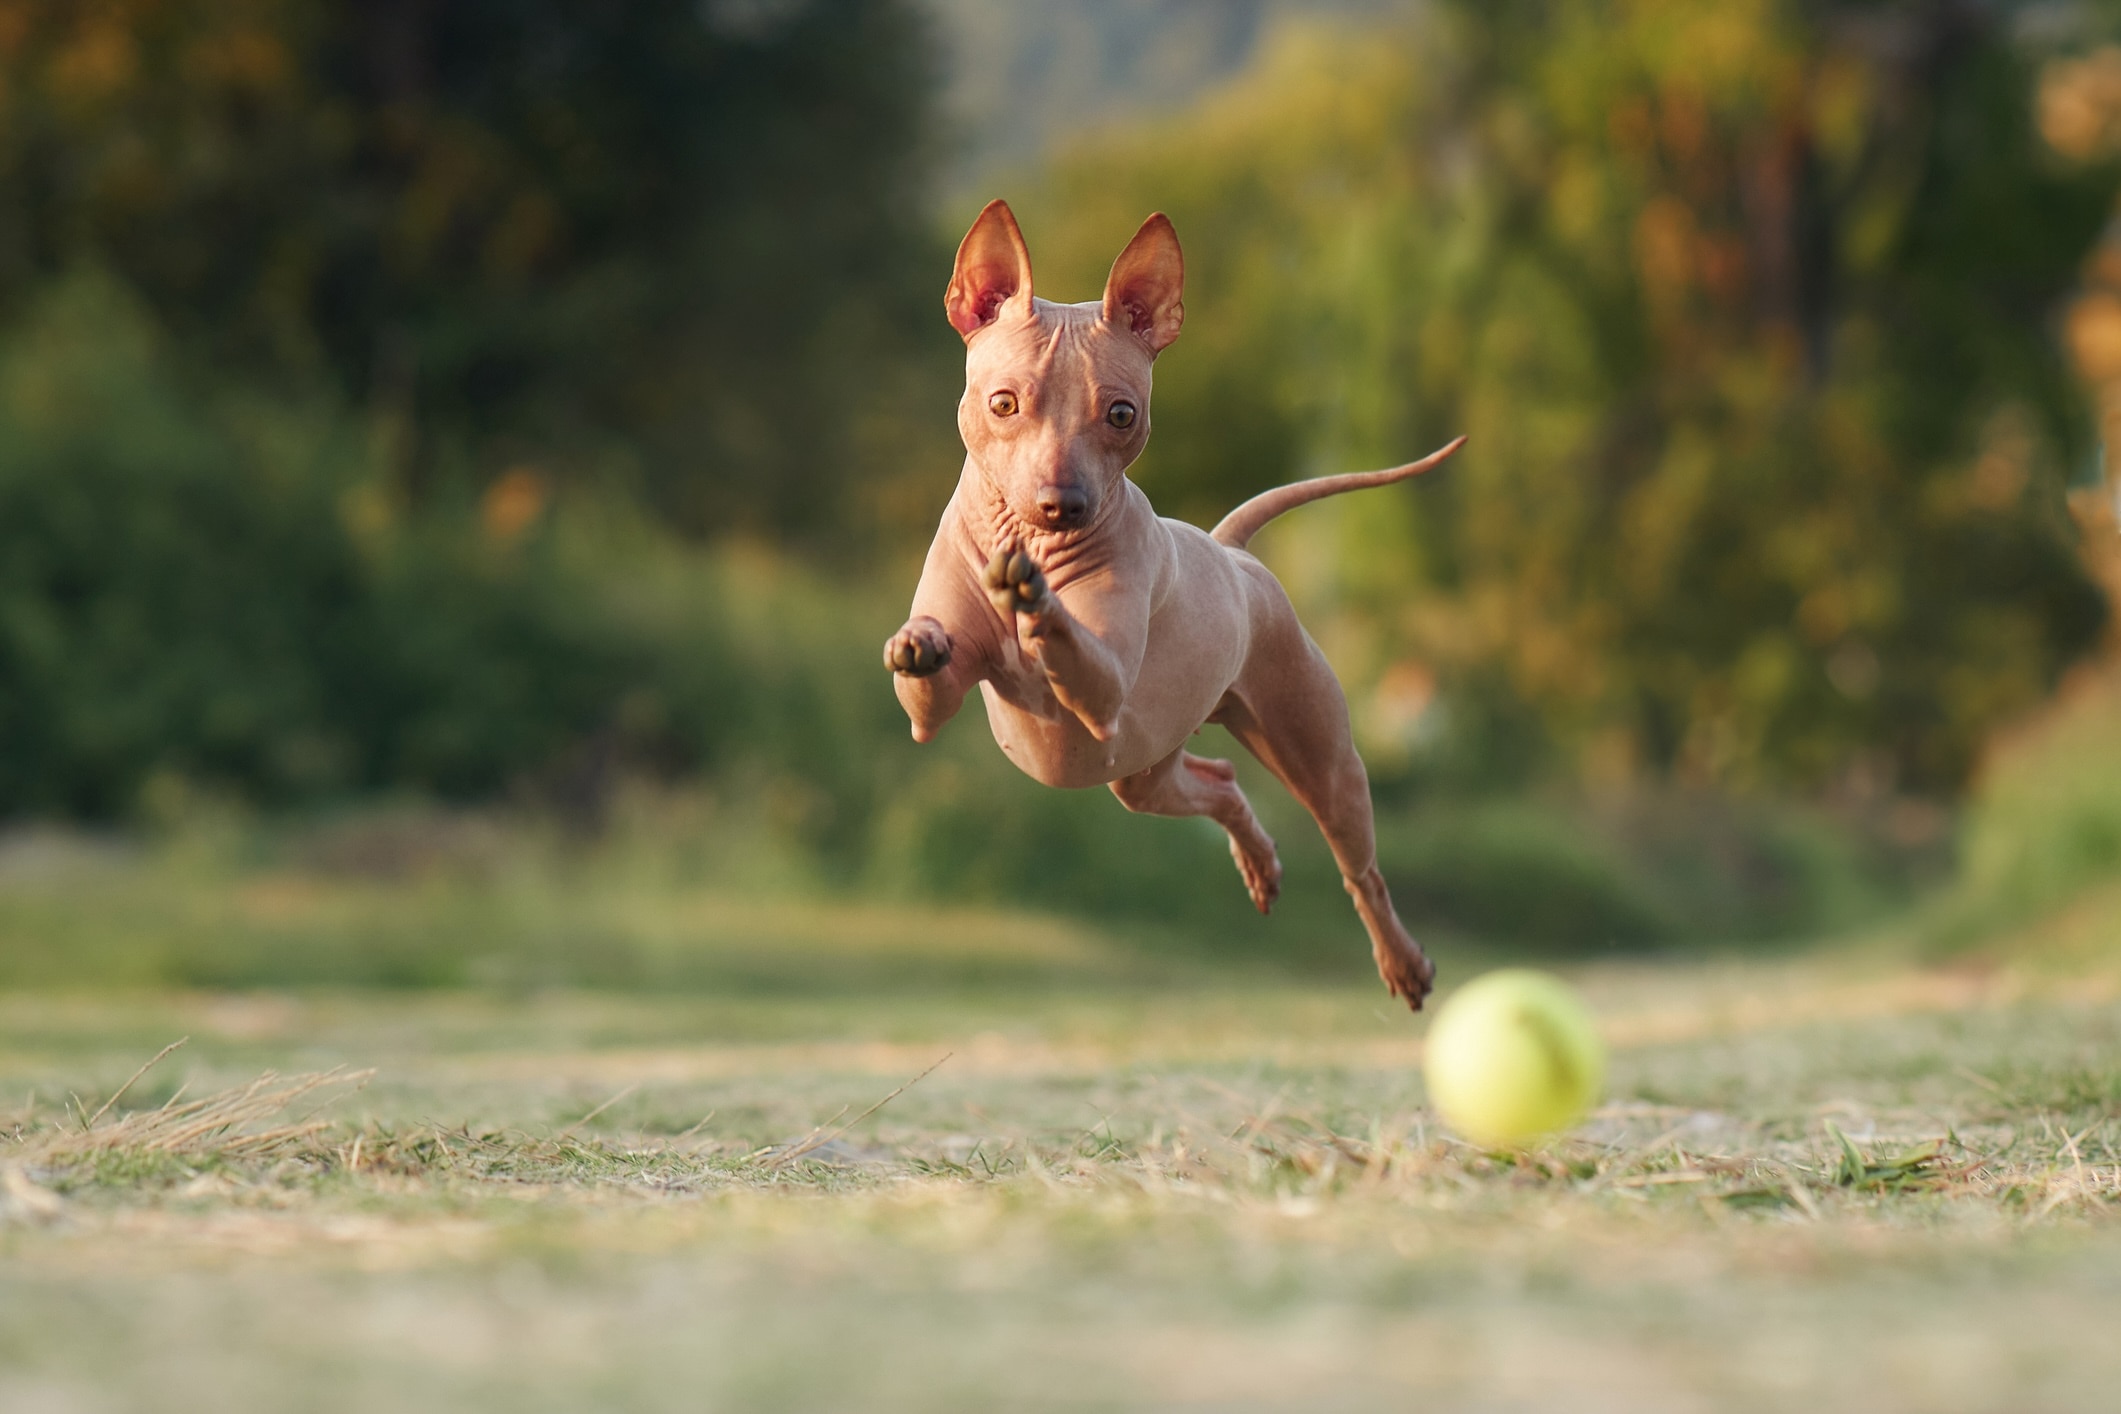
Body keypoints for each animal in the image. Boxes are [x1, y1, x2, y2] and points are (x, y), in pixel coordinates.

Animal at [878, 201, 1459, 1017]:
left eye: (1120, 413)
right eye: (1004, 404)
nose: (1062, 504)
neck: (1031, 541)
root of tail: (1229, 549)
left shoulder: (1103, 690)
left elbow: (1070, 643)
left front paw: (1033, 598)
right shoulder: (932, 714)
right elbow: (931, 680)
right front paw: (920, 642)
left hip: (1317, 761)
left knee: (1360, 870)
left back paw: (1402, 962)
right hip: (1145, 770)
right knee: (1221, 781)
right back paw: (1261, 864)